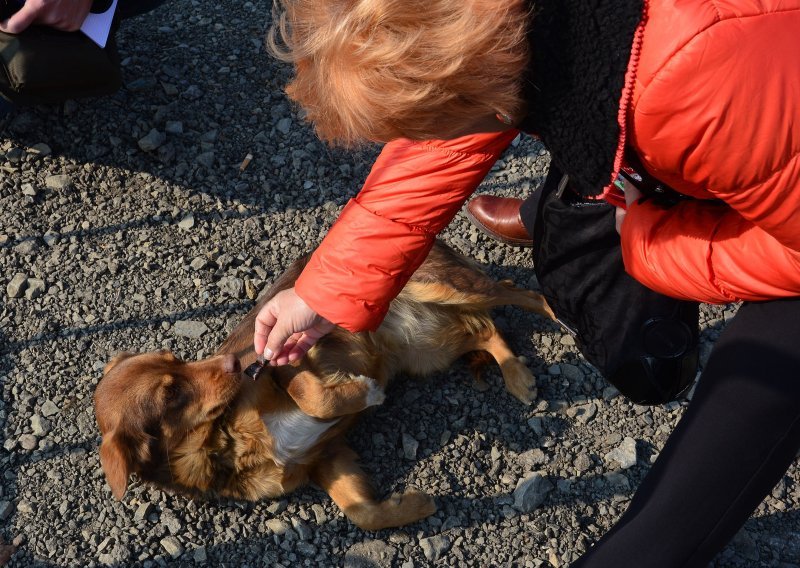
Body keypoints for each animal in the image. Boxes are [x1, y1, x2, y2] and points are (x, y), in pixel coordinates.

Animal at [94, 241, 552, 532]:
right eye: (171, 393)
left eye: (174, 356)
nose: (235, 363)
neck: (227, 440)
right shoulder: (326, 457)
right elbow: (361, 512)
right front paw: (413, 505)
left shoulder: (291, 353)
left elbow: (312, 396)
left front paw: (366, 392)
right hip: (426, 350)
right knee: (486, 329)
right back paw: (517, 375)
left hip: (446, 289)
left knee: (521, 293)